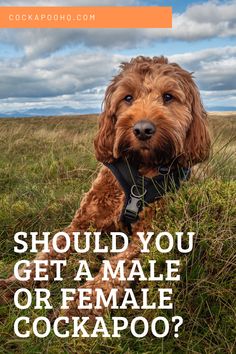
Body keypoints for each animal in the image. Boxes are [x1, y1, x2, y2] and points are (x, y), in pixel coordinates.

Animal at [0, 56, 210, 320]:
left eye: (168, 96)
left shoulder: (149, 236)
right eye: (127, 97)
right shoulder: (81, 225)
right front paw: (16, 282)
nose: (143, 129)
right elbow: (50, 252)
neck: (138, 173)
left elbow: (117, 264)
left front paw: (81, 305)